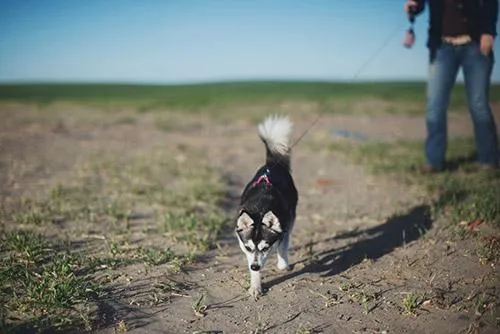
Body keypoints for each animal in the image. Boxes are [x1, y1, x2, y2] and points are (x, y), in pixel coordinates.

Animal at [234, 115, 296, 298]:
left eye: (265, 248)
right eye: (248, 247)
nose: (254, 266)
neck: (260, 208)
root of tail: (271, 165)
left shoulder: (284, 227)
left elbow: (282, 245)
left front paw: (283, 264)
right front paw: (255, 286)